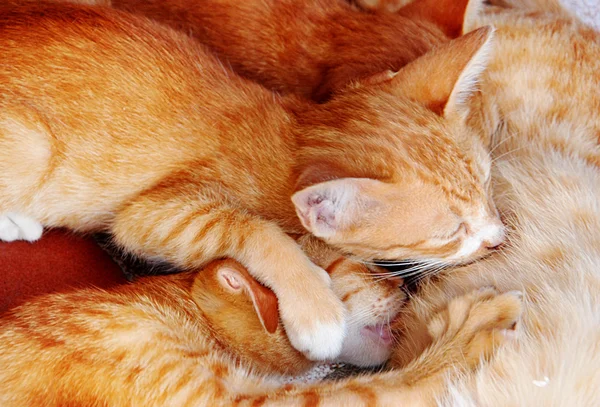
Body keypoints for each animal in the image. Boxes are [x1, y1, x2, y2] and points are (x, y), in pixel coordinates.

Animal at [0, 0, 504, 364]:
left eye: (486, 184)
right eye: (451, 232)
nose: (499, 238)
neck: (291, 134)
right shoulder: (149, 215)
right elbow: (253, 228)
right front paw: (316, 308)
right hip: (32, 146)